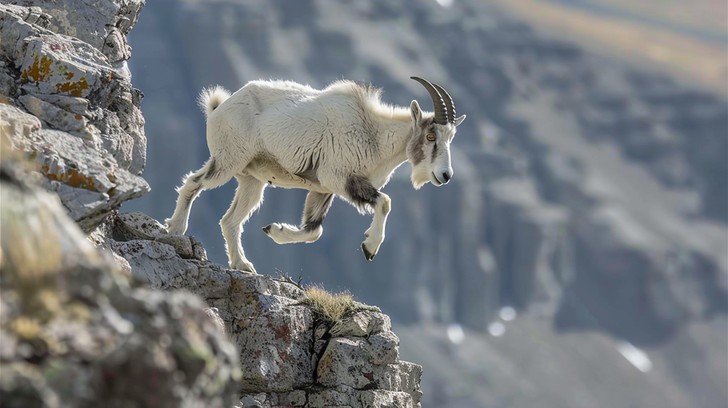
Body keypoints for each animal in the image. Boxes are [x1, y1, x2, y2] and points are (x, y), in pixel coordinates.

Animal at [165, 77, 466, 273]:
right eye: (430, 136)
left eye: (451, 137)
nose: (445, 175)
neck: (374, 134)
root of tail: (219, 107)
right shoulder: (340, 179)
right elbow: (385, 202)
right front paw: (369, 247)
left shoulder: (323, 189)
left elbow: (313, 231)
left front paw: (274, 230)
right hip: (228, 160)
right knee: (193, 183)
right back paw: (176, 228)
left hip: (252, 180)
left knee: (230, 221)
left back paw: (243, 264)